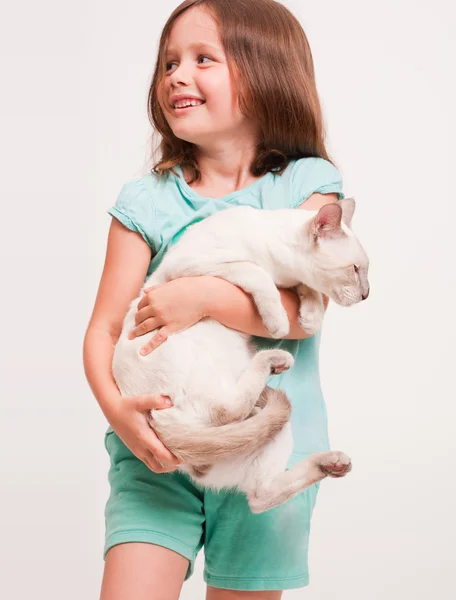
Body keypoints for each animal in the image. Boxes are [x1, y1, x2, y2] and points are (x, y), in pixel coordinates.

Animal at [111, 199, 370, 512]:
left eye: (364, 271)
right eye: (355, 270)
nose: (367, 294)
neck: (282, 269)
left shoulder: (291, 280)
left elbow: (307, 289)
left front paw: (309, 318)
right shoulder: (201, 266)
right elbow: (257, 274)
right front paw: (279, 321)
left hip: (274, 434)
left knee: (261, 497)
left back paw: (332, 462)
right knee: (226, 412)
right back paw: (273, 361)